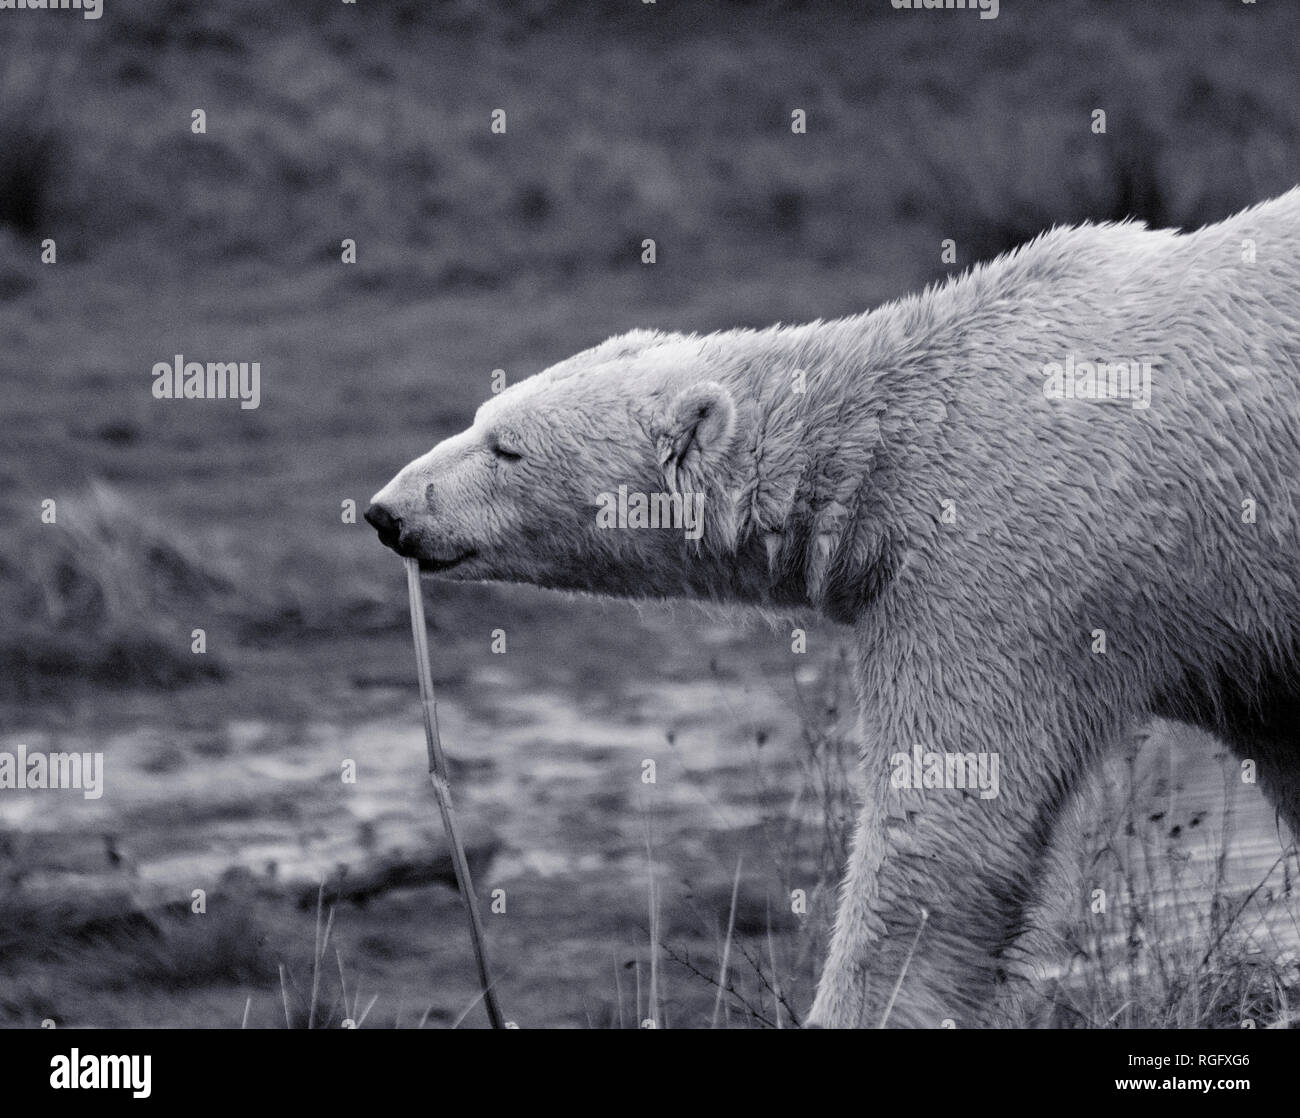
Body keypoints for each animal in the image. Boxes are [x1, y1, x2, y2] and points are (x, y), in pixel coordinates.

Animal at [367, 188, 1300, 1028]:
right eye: (481, 415)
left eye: (506, 448)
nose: (386, 511)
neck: (890, 429)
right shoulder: (1236, 629)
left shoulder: (1010, 562)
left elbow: (943, 830)